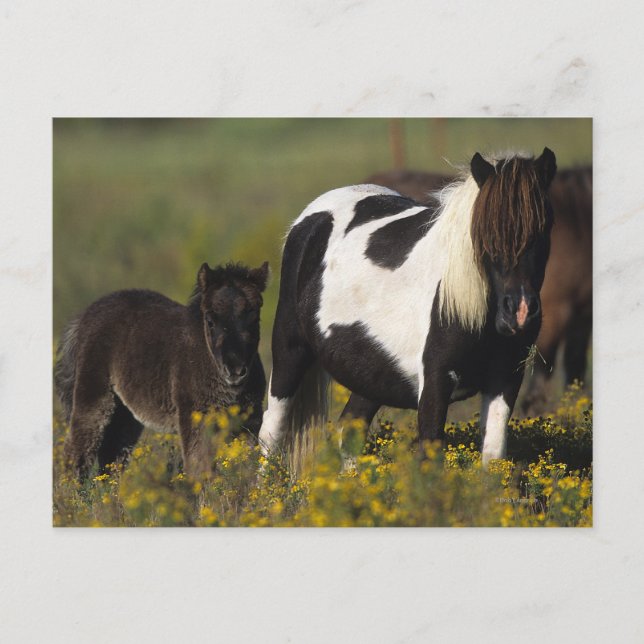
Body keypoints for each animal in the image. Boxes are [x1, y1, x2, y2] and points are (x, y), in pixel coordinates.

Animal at [55, 261, 269, 480]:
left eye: (255, 318)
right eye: (210, 321)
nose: (235, 369)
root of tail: (85, 317)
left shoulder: (249, 420)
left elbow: (247, 466)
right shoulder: (194, 418)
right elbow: (199, 468)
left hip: (125, 413)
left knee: (112, 456)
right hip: (94, 397)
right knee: (78, 451)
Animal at [258, 149, 556, 465]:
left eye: (545, 227)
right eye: (486, 233)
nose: (519, 312)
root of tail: (312, 216)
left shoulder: (506, 379)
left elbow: (493, 456)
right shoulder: (435, 382)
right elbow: (430, 454)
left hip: (371, 374)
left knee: (349, 428)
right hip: (290, 351)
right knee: (271, 432)